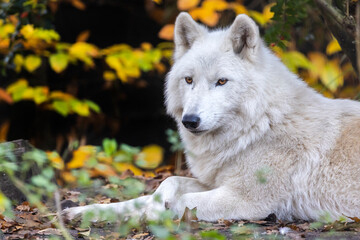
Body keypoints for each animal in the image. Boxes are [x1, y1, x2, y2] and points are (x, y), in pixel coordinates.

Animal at [63, 12, 360, 221]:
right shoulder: (213, 182)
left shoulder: (245, 200)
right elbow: (164, 185)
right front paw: (84, 211)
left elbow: (178, 203)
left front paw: (153, 215)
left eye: (221, 81)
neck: (259, 125)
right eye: (189, 80)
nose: (190, 121)